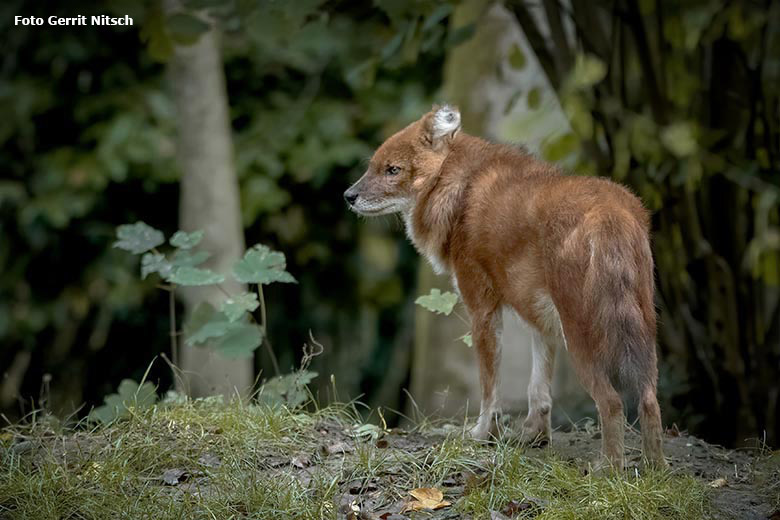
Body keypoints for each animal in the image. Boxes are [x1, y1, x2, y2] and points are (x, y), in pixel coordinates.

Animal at [344, 103, 668, 470]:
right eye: (371, 166)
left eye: (392, 170)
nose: (348, 196)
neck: (458, 186)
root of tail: (609, 213)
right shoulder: (541, 319)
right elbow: (538, 389)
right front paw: (535, 436)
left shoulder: (482, 309)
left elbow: (489, 389)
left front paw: (482, 434)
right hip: (643, 327)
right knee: (649, 399)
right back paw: (657, 470)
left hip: (583, 335)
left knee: (612, 402)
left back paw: (608, 469)